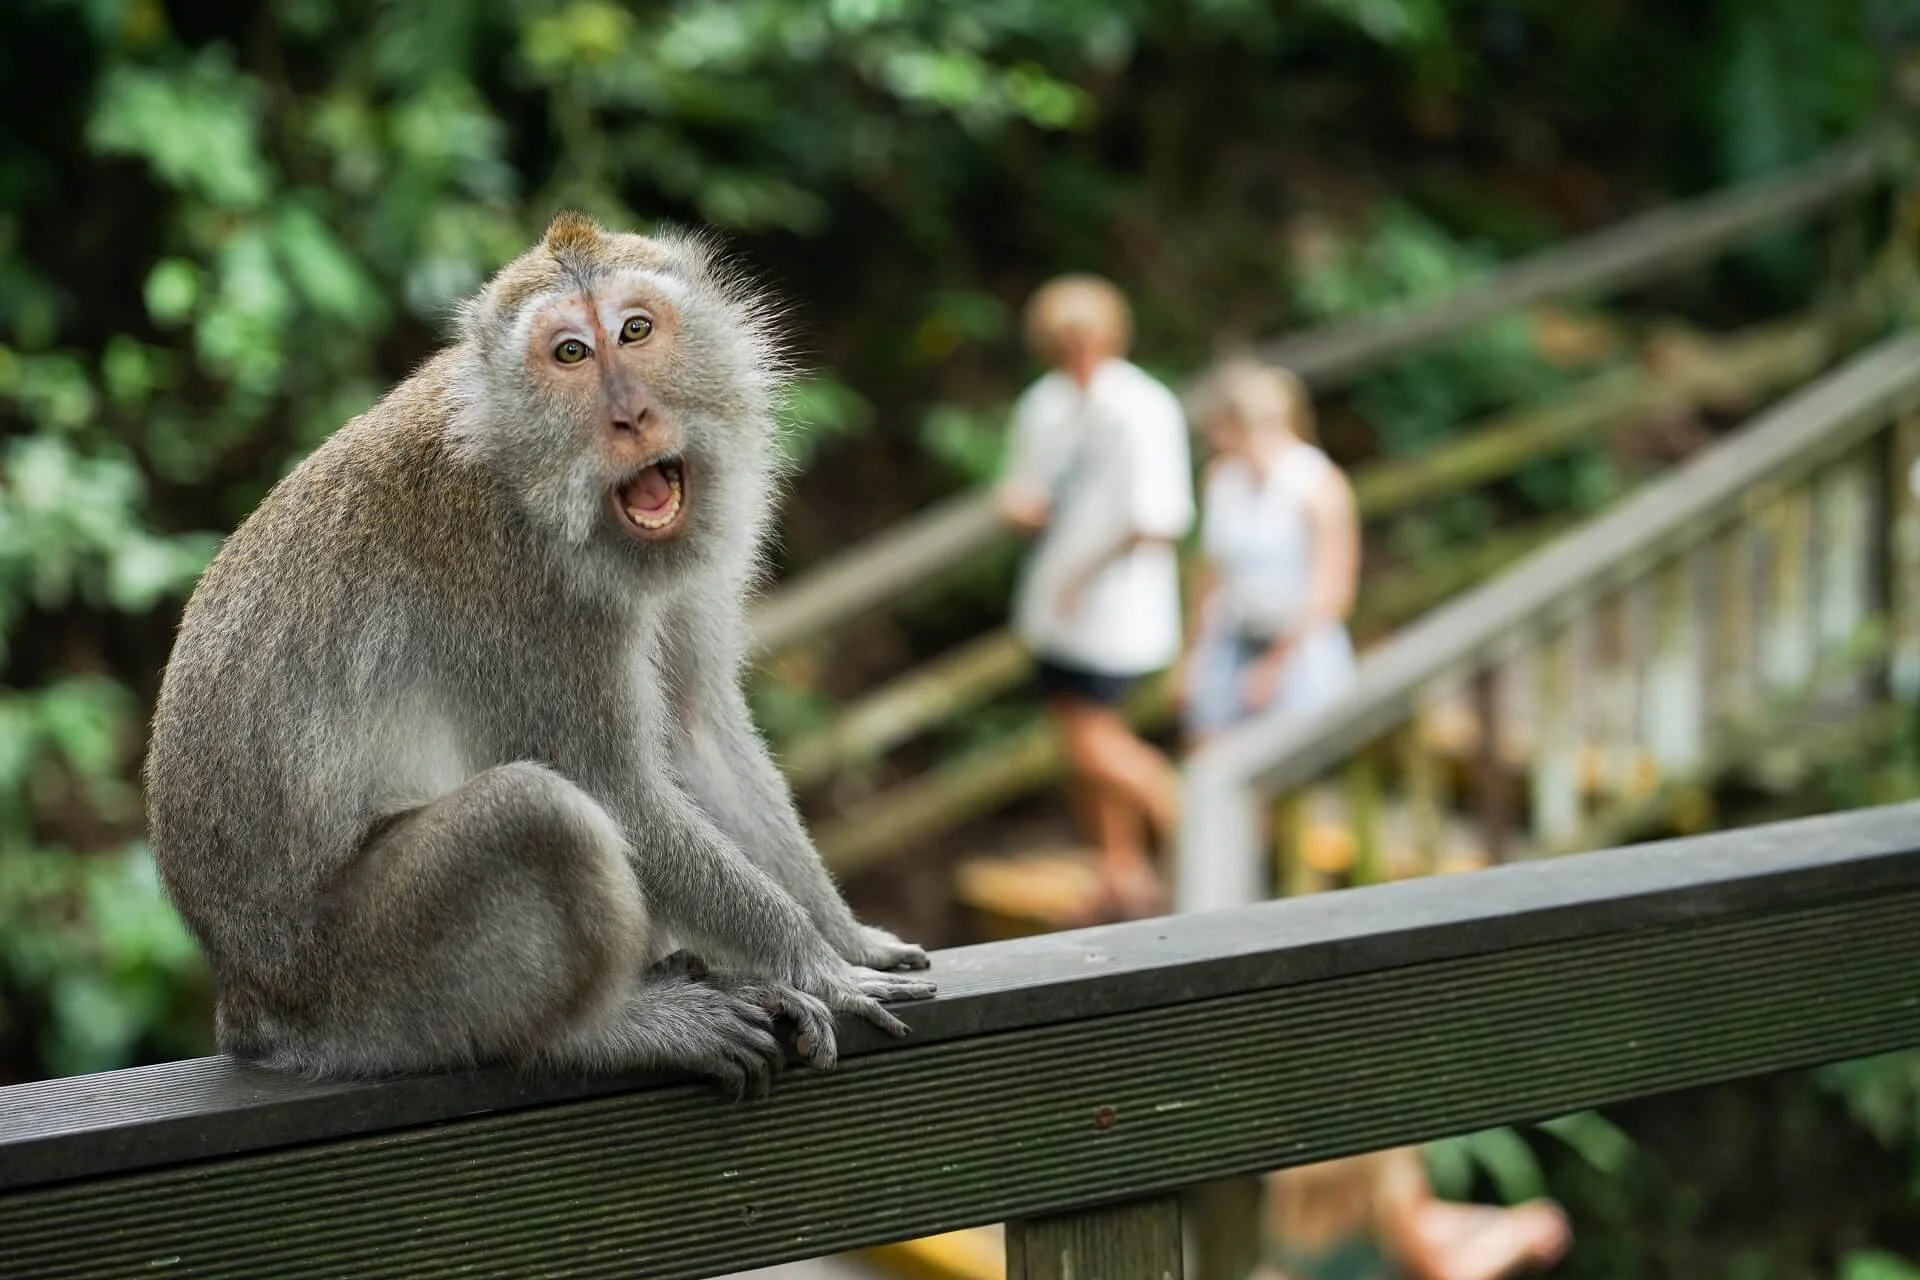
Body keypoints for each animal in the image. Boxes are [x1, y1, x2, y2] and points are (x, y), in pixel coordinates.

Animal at [144, 214, 936, 1097]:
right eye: (570, 354)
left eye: (635, 331)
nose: (631, 417)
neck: (531, 478)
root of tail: (247, 1001)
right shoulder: (525, 597)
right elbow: (614, 791)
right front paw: (810, 962)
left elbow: (699, 732)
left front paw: (848, 937)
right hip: (364, 984)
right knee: (534, 813)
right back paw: (606, 1030)